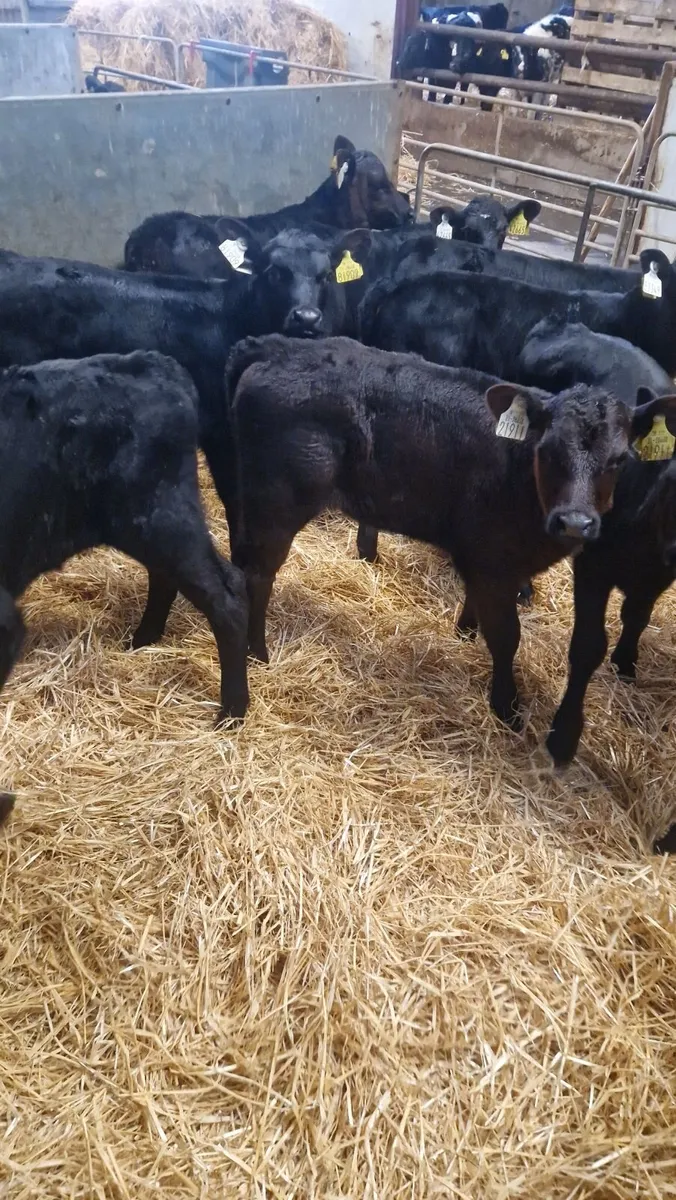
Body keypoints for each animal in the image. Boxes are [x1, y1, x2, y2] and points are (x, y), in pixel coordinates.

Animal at [0, 351, 249, 723]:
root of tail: (156, 364)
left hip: (159, 517)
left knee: (225, 594)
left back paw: (232, 712)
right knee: (169, 578)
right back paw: (141, 640)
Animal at [225, 334, 641, 731]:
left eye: (619, 460)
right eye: (548, 450)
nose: (574, 522)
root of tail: (278, 347)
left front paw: (465, 634)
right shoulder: (493, 560)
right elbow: (506, 637)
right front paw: (507, 709)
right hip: (277, 503)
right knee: (257, 576)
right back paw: (257, 654)